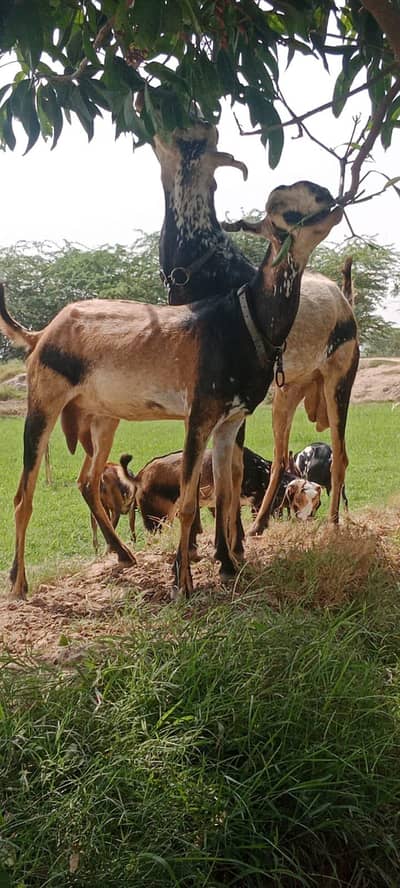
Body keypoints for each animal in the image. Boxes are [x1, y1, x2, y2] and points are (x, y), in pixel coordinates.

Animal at [130, 446, 322, 539]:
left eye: (317, 503)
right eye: (299, 499)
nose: (307, 519)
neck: (261, 471)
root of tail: (141, 474)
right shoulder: (255, 503)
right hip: (155, 519)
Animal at [154, 123, 359, 536]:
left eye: (195, 138)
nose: (326, 196)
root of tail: (344, 301)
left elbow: (229, 471)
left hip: (338, 383)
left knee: (341, 455)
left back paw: (332, 524)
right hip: (287, 393)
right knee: (282, 458)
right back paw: (260, 523)